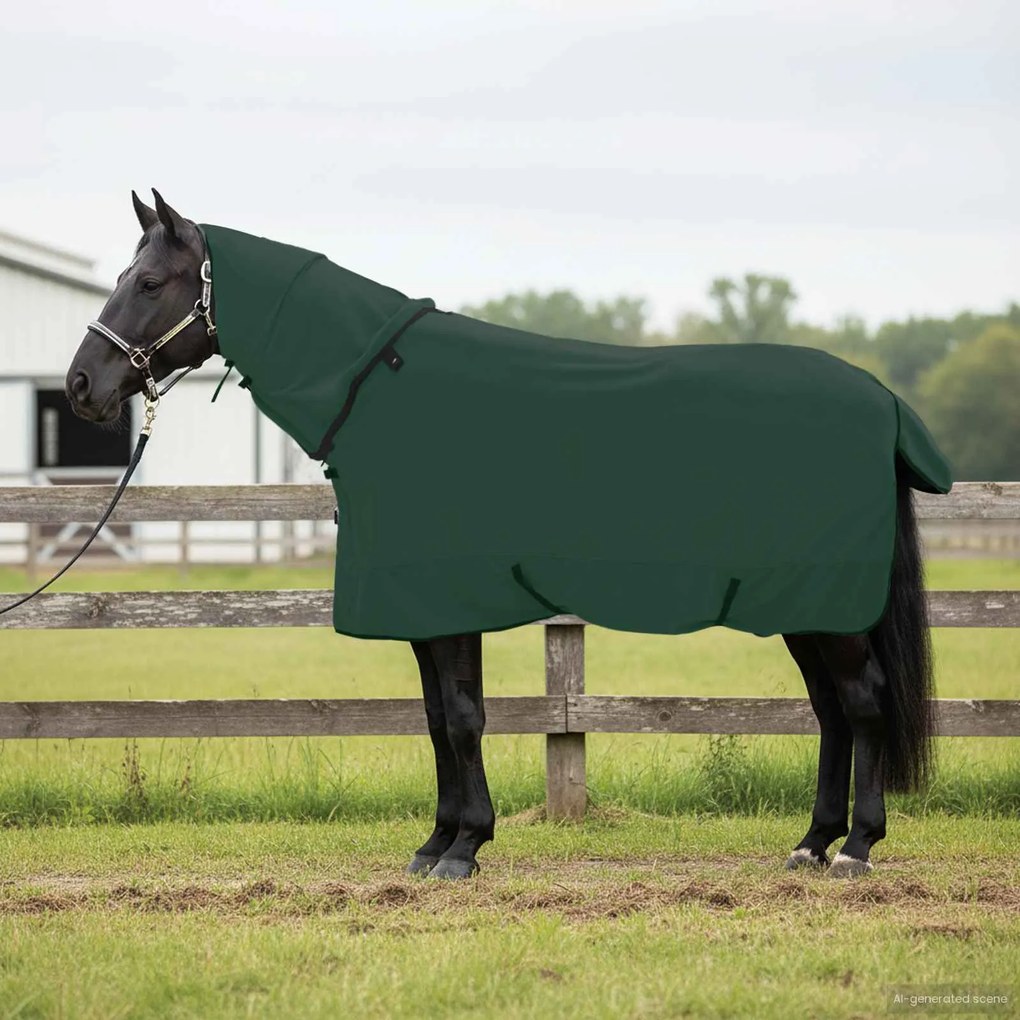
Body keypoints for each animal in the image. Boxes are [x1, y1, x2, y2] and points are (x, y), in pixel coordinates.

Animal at [65, 189, 943, 880]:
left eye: (148, 282)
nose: (81, 385)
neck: (382, 388)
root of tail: (881, 401)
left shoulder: (447, 601)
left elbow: (461, 717)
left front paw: (463, 850)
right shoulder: (421, 607)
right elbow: (434, 718)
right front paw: (435, 844)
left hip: (829, 606)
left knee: (862, 704)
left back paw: (856, 849)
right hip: (806, 605)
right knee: (831, 711)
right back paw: (811, 843)